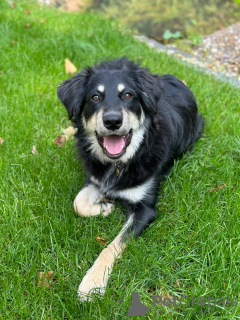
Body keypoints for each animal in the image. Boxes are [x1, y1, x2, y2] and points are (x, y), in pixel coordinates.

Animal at [57, 57, 203, 300]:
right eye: (95, 97)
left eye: (128, 95)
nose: (112, 121)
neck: (120, 164)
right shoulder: (96, 178)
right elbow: (78, 203)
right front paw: (104, 208)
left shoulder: (145, 209)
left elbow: (112, 246)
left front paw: (92, 284)